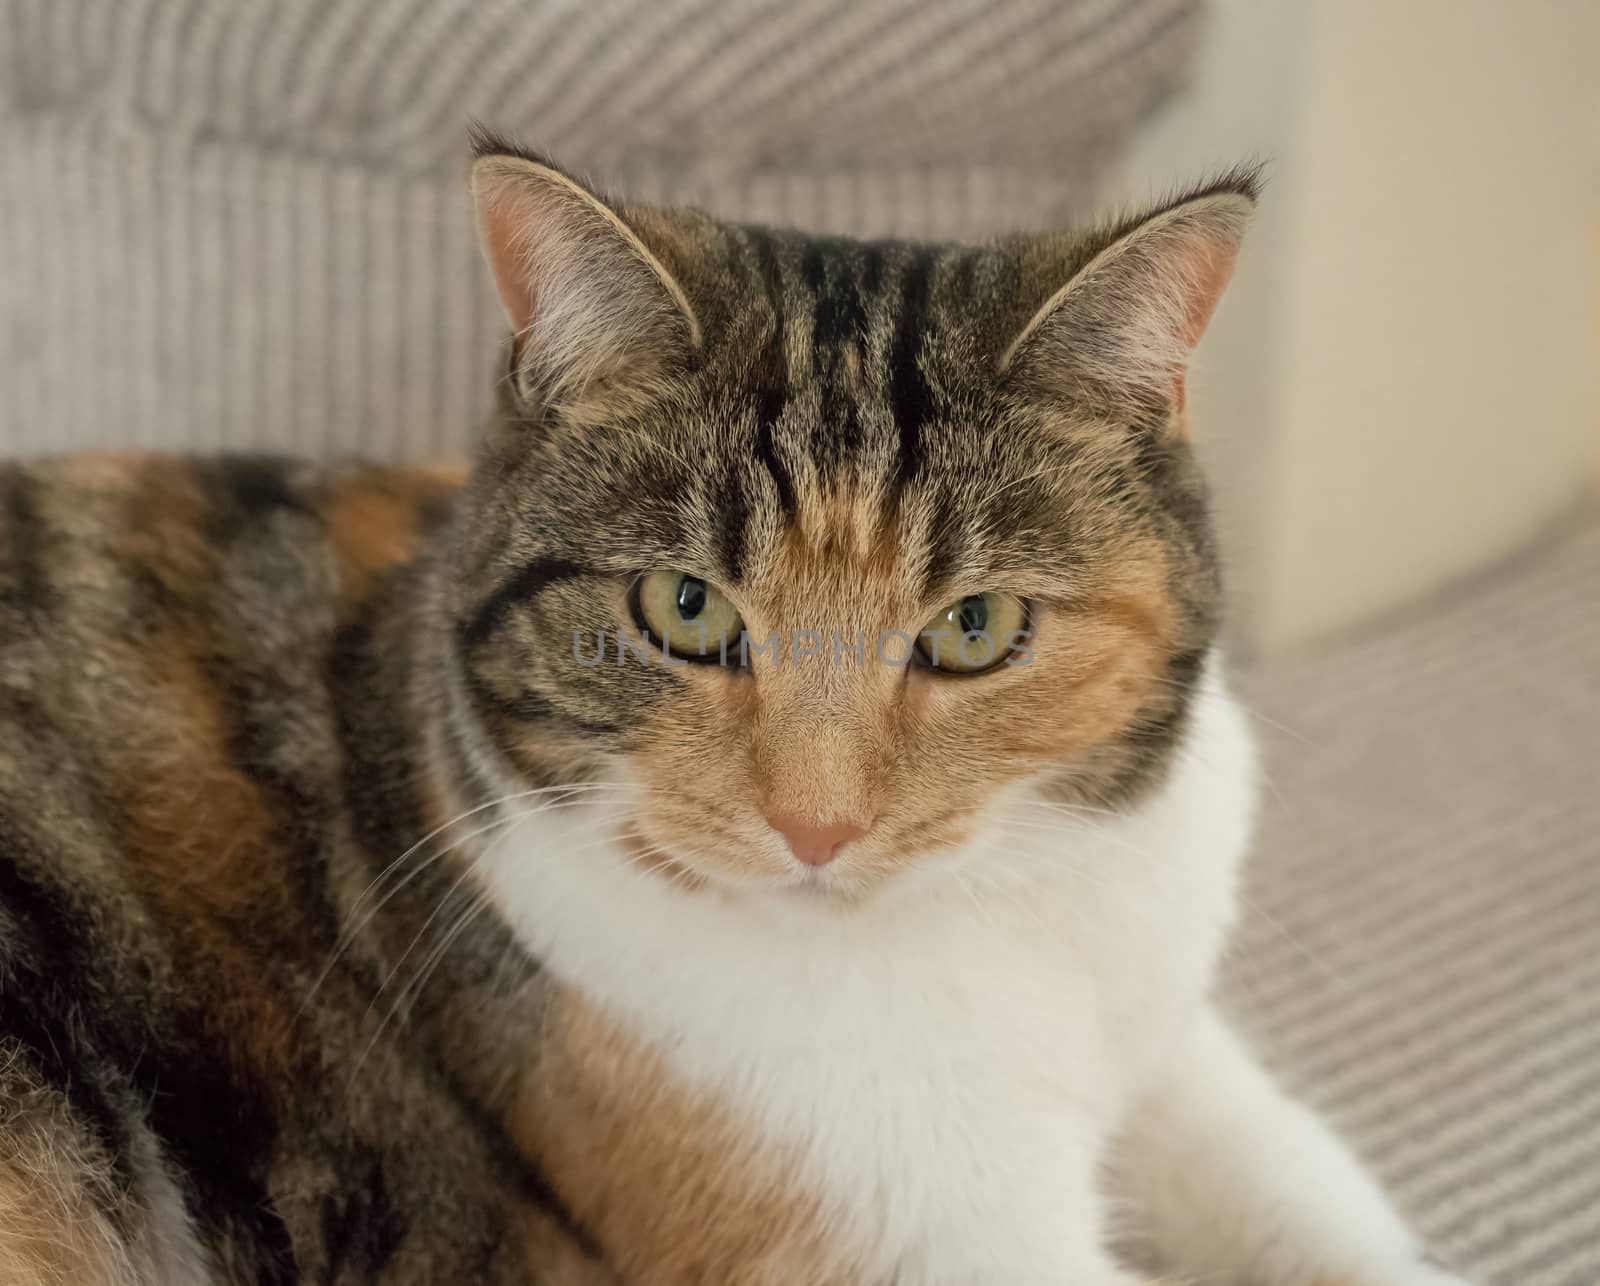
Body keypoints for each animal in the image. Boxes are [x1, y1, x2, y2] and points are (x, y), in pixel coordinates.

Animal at [0, 132, 1472, 1286]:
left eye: (974, 628)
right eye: (685, 608)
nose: (813, 827)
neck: (983, 933)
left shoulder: (1159, 1021)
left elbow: (1298, 1186)